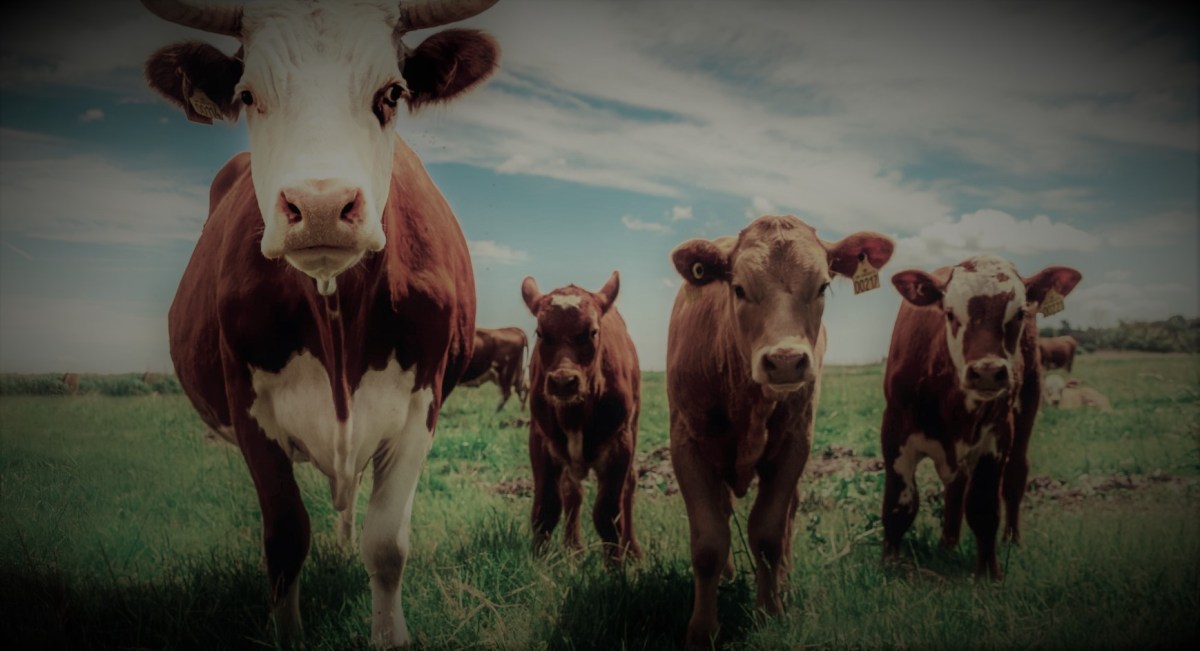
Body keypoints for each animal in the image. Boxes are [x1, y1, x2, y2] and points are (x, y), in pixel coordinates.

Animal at [141, 0, 500, 646]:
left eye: (392, 93)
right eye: (249, 95)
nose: (322, 207)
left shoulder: (422, 402)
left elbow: (386, 544)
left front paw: (389, 632)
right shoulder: (248, 405)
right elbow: (285, 537)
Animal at [521, 271, 642, 564]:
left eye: (592, 332)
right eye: (541, 333)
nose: (563, 382)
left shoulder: (620, 444)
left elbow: (608, 515)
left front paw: (615, 568)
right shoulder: (540, 440)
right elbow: (545, 510)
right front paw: (539, 564)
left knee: (630, 484)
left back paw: (632, 549)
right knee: (571, 492)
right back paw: (572, 547)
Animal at [667, 215, 895, 649]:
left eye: (822, 286)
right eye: (739, 287)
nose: (786, 361)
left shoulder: (794, 445)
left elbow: (769, 534)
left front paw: (770, 611)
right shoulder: (687, 445)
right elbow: (708, 542)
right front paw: (702, 630)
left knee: (788, 515)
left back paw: (783, 582)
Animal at [882, 255, 1081, 579]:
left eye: (1019, 313)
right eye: (950, 313)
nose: (987, 371)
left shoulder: (997, 436)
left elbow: (983, 508)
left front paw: (988, 572)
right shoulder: (895, 430)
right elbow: (900, 505)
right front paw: (890, 563)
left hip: (1028, 403)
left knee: (1014, 476)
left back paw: (1011, 538)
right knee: (956, 487)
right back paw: (947, 543)